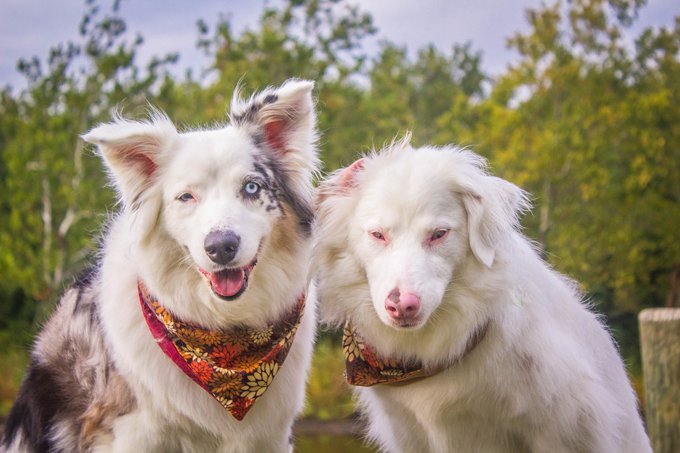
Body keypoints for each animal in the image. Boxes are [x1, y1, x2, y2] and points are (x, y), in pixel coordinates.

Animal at [1, 79, 320, 450]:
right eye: (186, 197)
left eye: (251, 187)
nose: (221, 247)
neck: (225, 337)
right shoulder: (133, 431)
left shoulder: (268, 436)